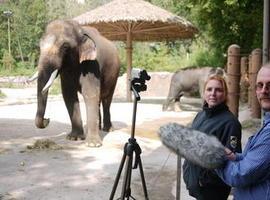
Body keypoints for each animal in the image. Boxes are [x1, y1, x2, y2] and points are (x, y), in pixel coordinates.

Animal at [34, 19, 120, 147]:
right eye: (39, 45)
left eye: (65, 47)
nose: (47, 120)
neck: (80, 30)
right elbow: (69, 95)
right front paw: (74, 138)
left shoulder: (93, 64)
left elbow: (90, 93)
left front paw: (93, 144)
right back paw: (99, 128)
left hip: (114, 74)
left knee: (107, 99)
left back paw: (108, 129)